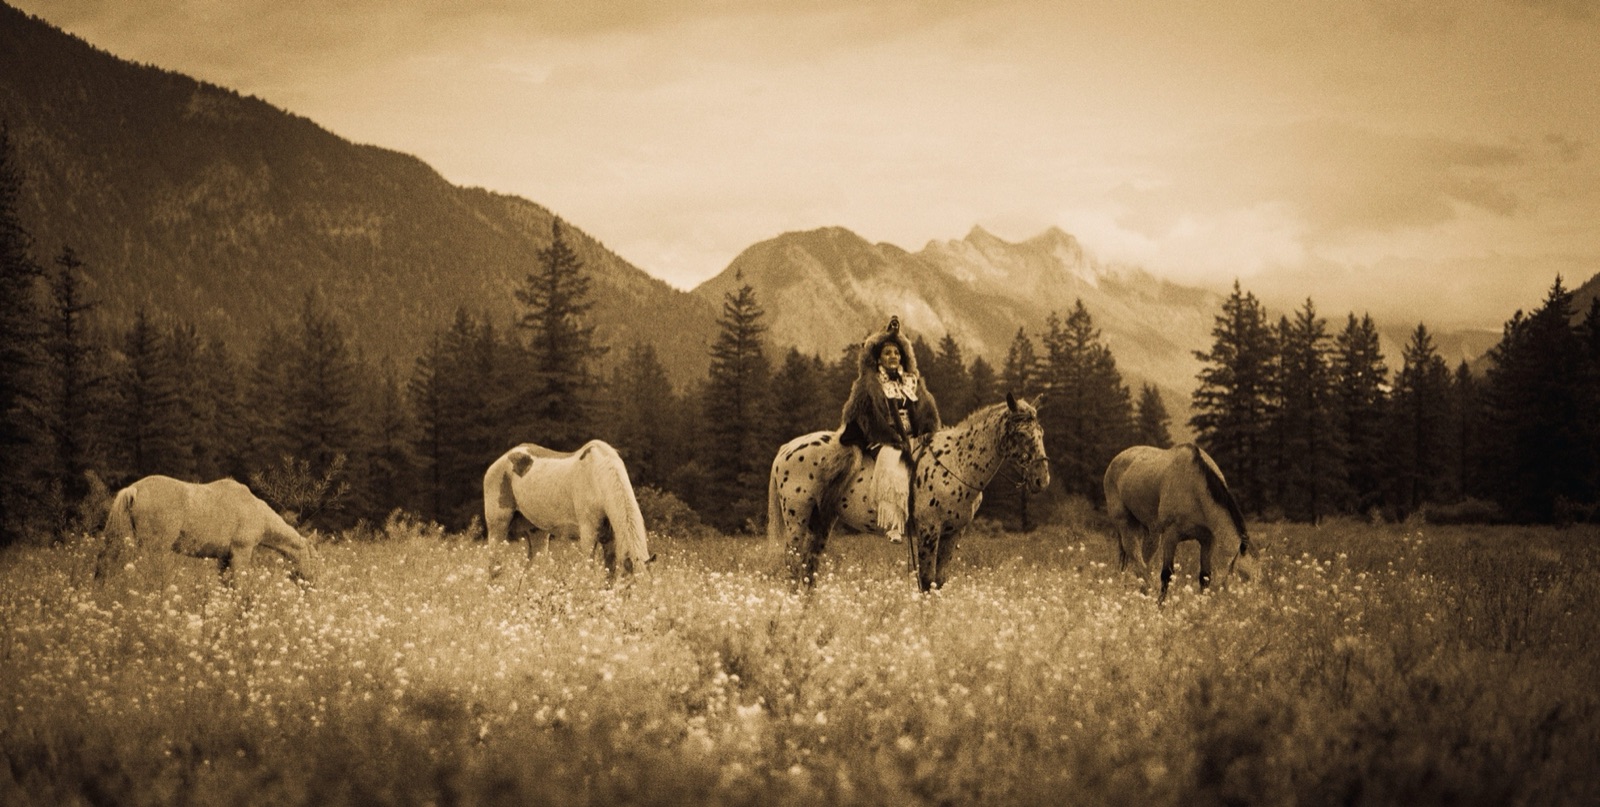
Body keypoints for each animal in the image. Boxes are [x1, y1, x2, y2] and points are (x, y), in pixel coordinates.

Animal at [94, 475, 315, 586]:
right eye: (314, 558)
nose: (312, 583)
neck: (256, 511)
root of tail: (134, 489)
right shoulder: (241, 552)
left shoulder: (224, 558)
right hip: (154, 548)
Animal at [482, 440, 654, 579]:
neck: (597, 477)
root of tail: (501, 460)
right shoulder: (588, 533)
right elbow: (587, 571)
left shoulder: (609, 539)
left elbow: (610, 574)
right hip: (498, 528)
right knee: (494, 569)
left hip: (538, 534)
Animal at [769, 393, 1050, 591]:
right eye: (1022, 434)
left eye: (1041, 432)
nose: (1041, 479)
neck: (956, 462)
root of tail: (786, 449)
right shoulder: (929, 529)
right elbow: (926, 581)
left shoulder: (952, 533)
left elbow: (939, 581)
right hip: (797, 519)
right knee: (793, 564)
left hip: (822, 520)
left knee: (809, 567)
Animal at [1103, 443, 1256, 603]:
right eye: (1243, 575)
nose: (1251, 602)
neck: (1194, 489)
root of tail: (1116, 459)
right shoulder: (1171, 536)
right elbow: (1166, 574)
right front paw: (1160, 604)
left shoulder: (1208, 540)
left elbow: (1205, 576)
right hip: (1126, 524)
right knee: (1136, 557)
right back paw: (1148, 590)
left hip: (1150, 531)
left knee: (1142, 560)